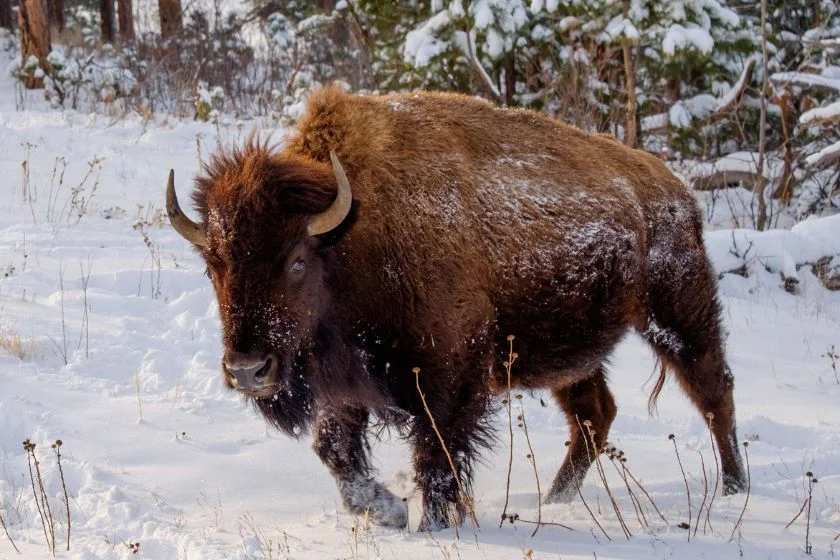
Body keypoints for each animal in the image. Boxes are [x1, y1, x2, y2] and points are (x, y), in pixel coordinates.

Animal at [167, 85, 744, 532]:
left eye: (296, 260)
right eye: (213, 264)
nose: (247, 370)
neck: (352, 234)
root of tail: (677, 190)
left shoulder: (449, 380)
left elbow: (437, 457)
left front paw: (432, 526)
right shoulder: (344, 385)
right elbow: (334, 450)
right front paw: (389, 512)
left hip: (676, 313)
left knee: (713, 390)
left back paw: (736, 490)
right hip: (571, 353)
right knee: (594, 415)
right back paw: (553, 500)